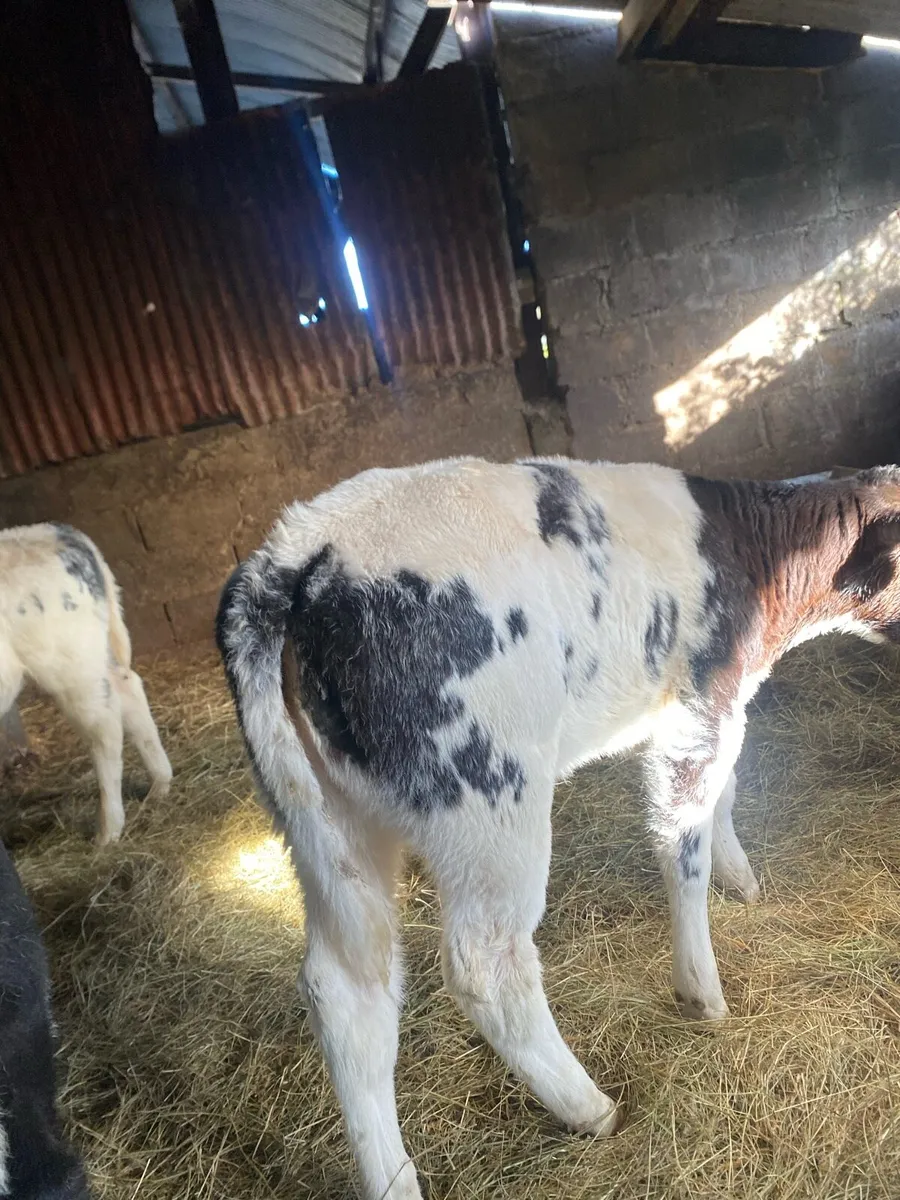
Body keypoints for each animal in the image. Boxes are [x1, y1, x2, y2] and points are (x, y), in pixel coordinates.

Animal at [0, 523, 172, 844]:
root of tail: (62, 533)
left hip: (70, 662)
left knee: (105, 727)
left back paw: (107, 832)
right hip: (92, 652)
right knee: (129, 690)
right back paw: (159, 786)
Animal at [216, 457, 900, 1200]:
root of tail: (293, 553)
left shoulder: (721, 706)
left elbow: (725, 795)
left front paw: (741, 880)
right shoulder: (697, 707)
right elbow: (682, 840)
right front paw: (702, 990)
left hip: (329, 821)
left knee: (346, 989)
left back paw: (393, 1177)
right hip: (488, 794)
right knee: (485, 963)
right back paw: (588, 1106)